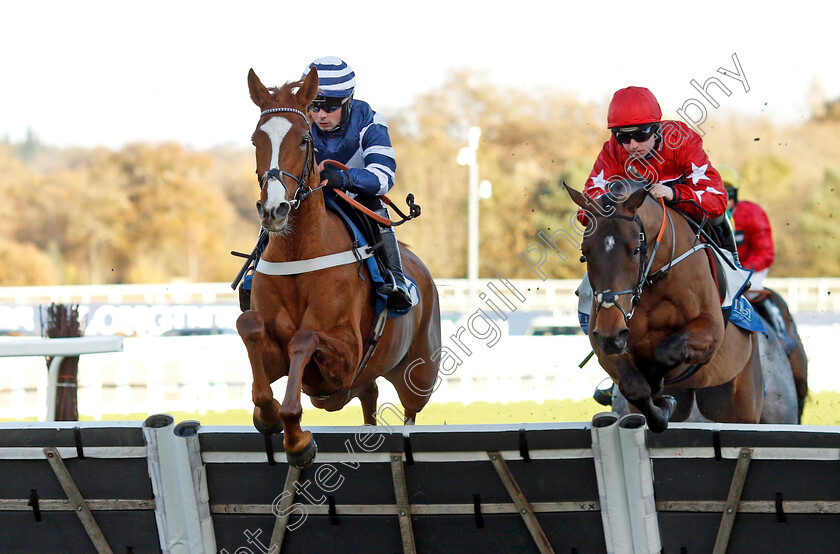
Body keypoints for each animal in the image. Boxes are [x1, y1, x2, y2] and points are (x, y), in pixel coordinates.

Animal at [238, 68, 440, 466]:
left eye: (303, 140)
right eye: (256, 139)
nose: (274, 209)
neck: (298, 255)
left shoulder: (346, 357)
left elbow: (304, 338)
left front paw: (297, 440)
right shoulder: (280, 356)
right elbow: (249, 325)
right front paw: (268, 415)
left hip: (420, 373)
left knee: (411, 410)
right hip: (364, 384)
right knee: (370, 397)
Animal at [564, 181, 796, 432]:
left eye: (635, 250)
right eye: (585, 253)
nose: (611, 334)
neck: (654, 277)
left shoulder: (710, 331)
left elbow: (668, 351)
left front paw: (658, 387)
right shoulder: (606, 346)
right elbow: (635, 388)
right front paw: (662, 403)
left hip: (743, 404)